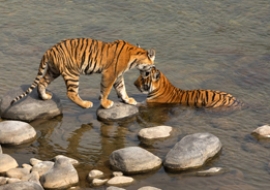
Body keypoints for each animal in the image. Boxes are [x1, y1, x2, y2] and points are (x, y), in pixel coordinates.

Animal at [10, 37, 155, 108]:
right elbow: (106, 89)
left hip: (53, 71)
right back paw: (86, 104)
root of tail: (49, 50)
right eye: (152, 65)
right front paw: (105, 104)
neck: (134, 57)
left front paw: (128, 100)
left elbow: (121, 88)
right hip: (72, 73)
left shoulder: (118, 75)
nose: (150, 71)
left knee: (41, 82)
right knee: (71, 93)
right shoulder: (110, 74)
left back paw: (45, 97)